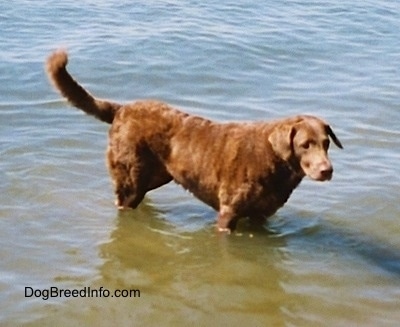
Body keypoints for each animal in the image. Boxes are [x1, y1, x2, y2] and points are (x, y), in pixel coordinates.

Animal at [45, 50, 342, 233]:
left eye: (326, 143)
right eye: (305, 145)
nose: (326, 170)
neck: (274, 160)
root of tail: (121, 110)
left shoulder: (260, 217)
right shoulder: (228, 215)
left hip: (156, 175)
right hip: (130, 175)